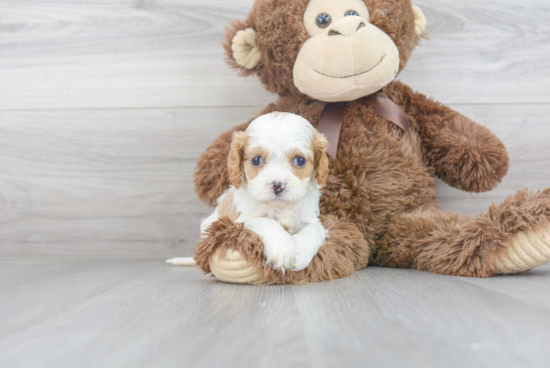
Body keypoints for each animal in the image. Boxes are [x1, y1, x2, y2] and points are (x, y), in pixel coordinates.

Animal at [168, 113, 330, 272]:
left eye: (300, 160)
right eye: (256, 160)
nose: (277, 186)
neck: (279, 207)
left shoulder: (311, 219)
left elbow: (313, 230)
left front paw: (299, 254)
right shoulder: (241, 221)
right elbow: (266, 221)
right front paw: (282, 248)